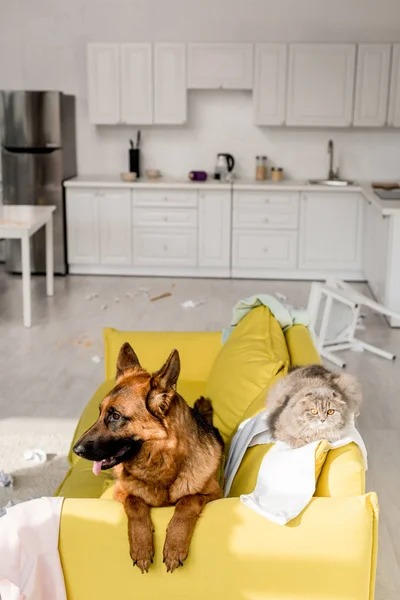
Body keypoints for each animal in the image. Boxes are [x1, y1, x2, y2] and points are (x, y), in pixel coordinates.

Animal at [73, 342, 223, 572]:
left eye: (115, 416)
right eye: (100, 412)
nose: (76, 450)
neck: (160, 463)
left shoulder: (215, 494)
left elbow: (188, 500)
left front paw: (174, 545)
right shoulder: (120, 492)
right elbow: (135, 502)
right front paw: (142, 547)